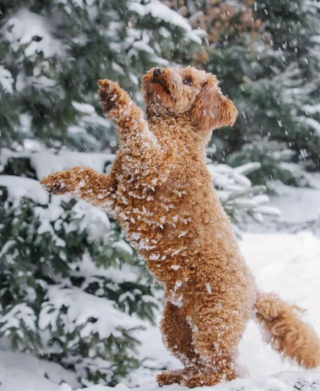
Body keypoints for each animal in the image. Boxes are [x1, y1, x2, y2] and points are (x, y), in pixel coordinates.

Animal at [41, 66, 320, 388]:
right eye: (170, 67)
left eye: (187, 80)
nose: (157, 70)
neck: (175, 133)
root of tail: (254, 294)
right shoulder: (116, 191)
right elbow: (84, 176)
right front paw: (58, 180)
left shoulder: (150, 166)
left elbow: (135, 127)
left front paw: (114, 97)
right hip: (176, 328)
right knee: (198, 359)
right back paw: (177, 376)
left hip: (214, 323)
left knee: (226, 370)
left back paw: (197, 380)